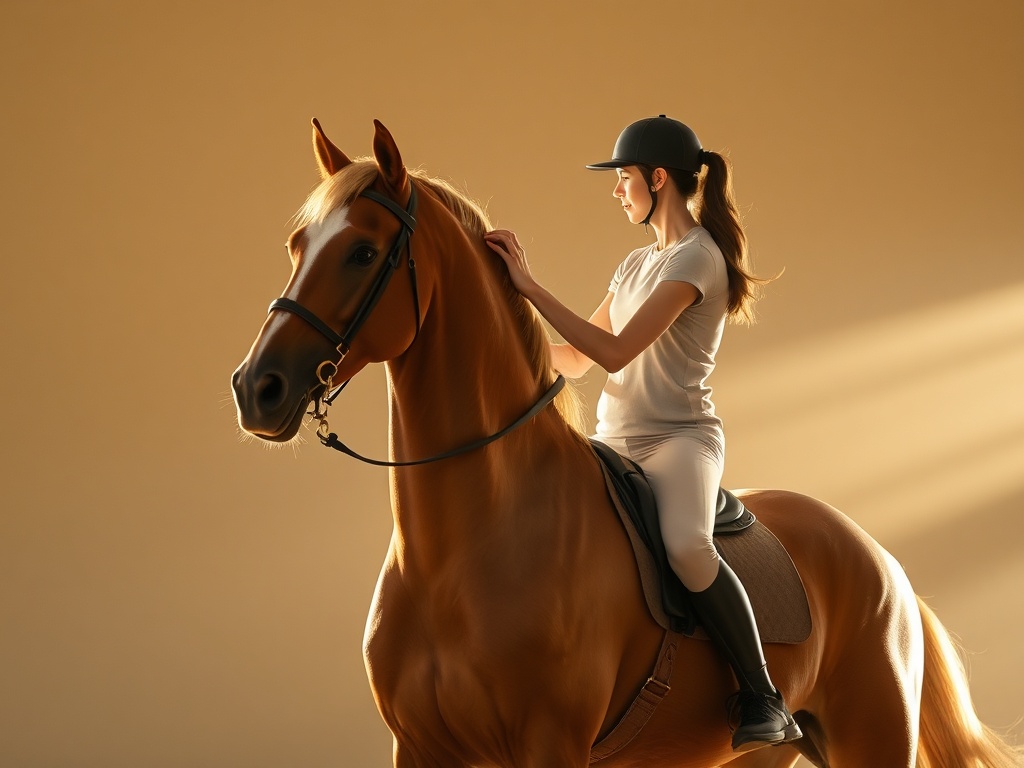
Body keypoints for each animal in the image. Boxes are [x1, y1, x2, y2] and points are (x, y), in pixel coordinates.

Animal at [231, 118, 1022, 767]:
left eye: (363, 252)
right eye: (299, 245)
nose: (256, 388)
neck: (462, 549)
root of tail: (881, 558)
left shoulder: (550, 743)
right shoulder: (419, 749)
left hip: (873, 736)